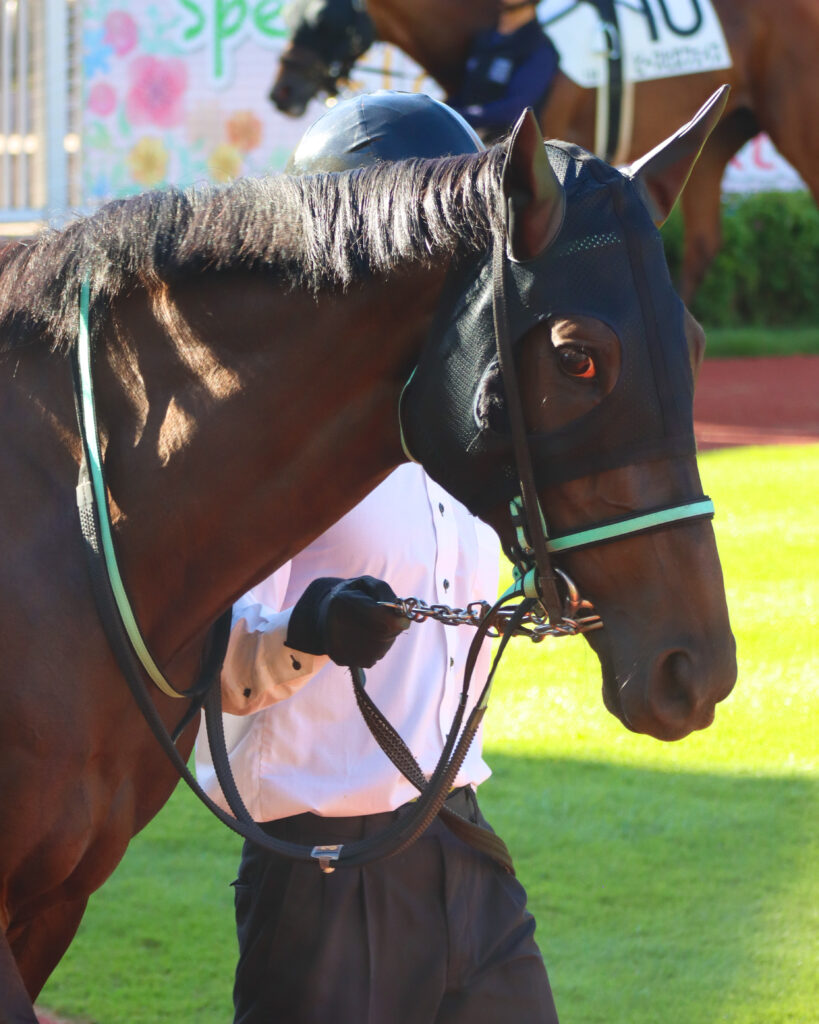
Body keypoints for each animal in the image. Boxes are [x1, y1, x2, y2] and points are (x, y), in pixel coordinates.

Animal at [270, 0, 819, 302]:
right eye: (290, 15)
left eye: (323, 18)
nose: (282, 91)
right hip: (716, 140)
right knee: (704, 245)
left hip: (797, 129)